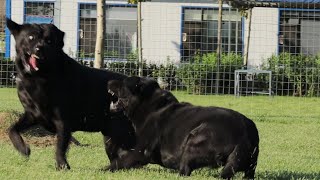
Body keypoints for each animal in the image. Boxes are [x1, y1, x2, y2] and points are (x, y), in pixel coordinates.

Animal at [5, 19, 135, 170]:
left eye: (49, 40)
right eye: (31, 37)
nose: (39, 48)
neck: (39, 79)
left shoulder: (63, 121)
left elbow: (60, 147)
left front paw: (62, 166)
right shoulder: (33, 114)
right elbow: (12, 129)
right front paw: (23, 149)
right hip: (111, 136)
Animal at [107, 76, 260, 179]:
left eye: (123, 83)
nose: (108, 81)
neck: (150, 107)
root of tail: (244, 135)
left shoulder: (140, 151)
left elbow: (118, 162)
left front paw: (105, 169)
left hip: (194, 141)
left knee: (185, 171)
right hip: (249, 165)